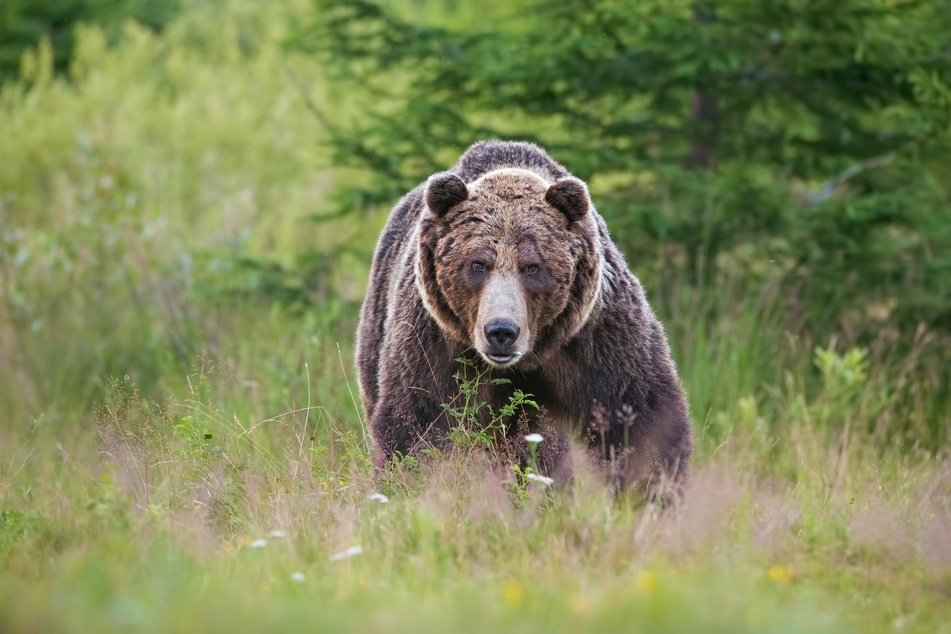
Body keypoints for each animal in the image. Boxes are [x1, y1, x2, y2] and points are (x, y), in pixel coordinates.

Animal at [356, 140, 692, 496]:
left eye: (532, 266)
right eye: (478, 263)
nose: (501, 331)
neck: (529, 356)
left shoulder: (597, 337)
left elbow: (640, 418)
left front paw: (653, 493)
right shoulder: (434, 344)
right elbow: (417, 423)